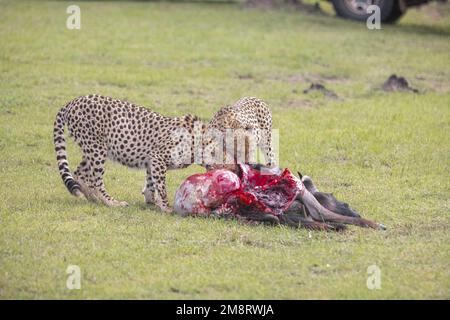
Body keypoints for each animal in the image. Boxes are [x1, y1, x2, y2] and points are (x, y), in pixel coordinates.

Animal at [52, 94, 202, 211]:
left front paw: (151, 201)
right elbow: (161, 186)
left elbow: (151, 183)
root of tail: (74, 101)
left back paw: (93, 198)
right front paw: (166, 207)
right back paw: (111, 202)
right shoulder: (157, 157)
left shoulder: (152, 160)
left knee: (79, 173)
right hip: (96, 149)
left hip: (93, 148)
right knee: (97, 181)